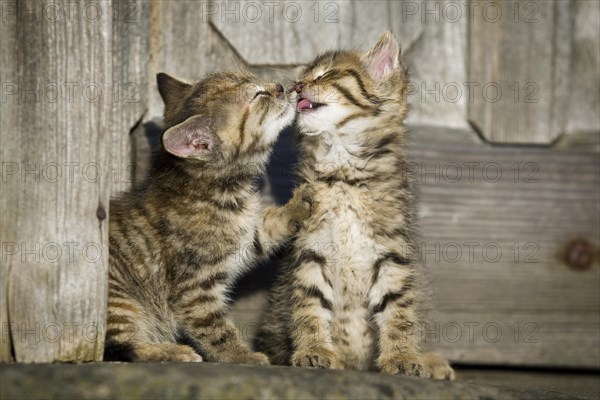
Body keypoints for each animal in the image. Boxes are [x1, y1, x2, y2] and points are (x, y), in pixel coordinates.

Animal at [104, 70, 310, 364]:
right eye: (258, 95)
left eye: (253, 78)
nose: (280, 86)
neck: (223, 192)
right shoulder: (195, 288)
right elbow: (214, 328)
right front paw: (241, 355)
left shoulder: (247, 240)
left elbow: (269, 227)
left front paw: (299, 205)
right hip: (120, 301)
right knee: (122, 346)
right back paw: (169, 350)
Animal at [253, 32, 454, 380]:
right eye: (301, 78)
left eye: (326, 75)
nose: (297, 87)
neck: (343, 174)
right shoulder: (311, 248)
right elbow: (309, 306)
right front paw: (314, 350)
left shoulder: (392, 251)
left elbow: (399, 311)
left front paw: (402, 357)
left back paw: (430, 360)